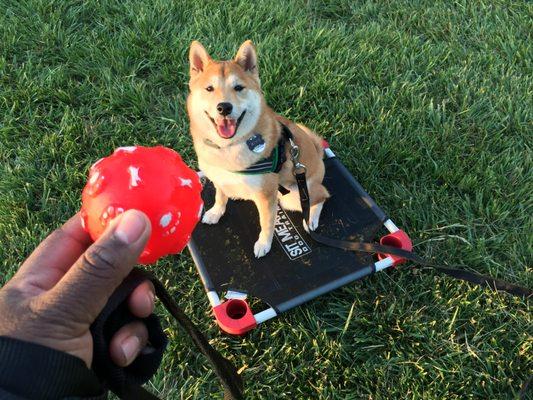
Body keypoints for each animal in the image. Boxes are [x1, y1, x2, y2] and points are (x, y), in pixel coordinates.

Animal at [187, 40, 328, 258]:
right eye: (209, 88)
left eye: (238, 87)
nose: (224, 107)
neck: (229, 148)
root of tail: (318, 155)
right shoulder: (219, 178)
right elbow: (220, 196)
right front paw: (216, 212)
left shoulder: (266, 196)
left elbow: (267, 223)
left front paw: (264, 244)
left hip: (294, 195)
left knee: (322, 196)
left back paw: (311, 218)